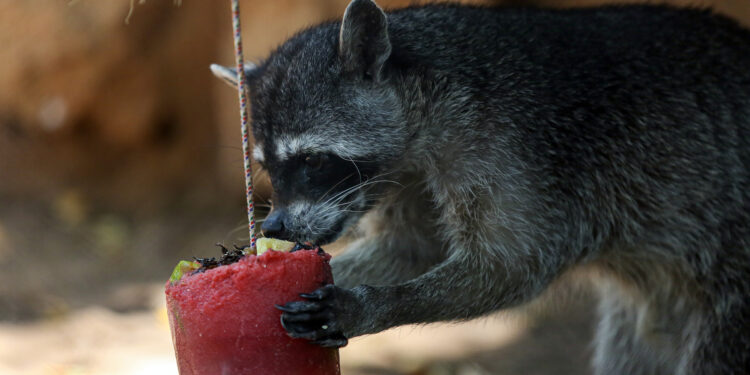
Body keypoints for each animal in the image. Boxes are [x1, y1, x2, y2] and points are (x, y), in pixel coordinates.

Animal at [212, 1, 750, 374]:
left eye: (314, 161)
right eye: (267, 167)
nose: (275, 226)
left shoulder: (509, 149)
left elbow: (516, 263)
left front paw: (373, 303)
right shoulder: (408, 172)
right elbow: (415, 248)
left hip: (731, 285)